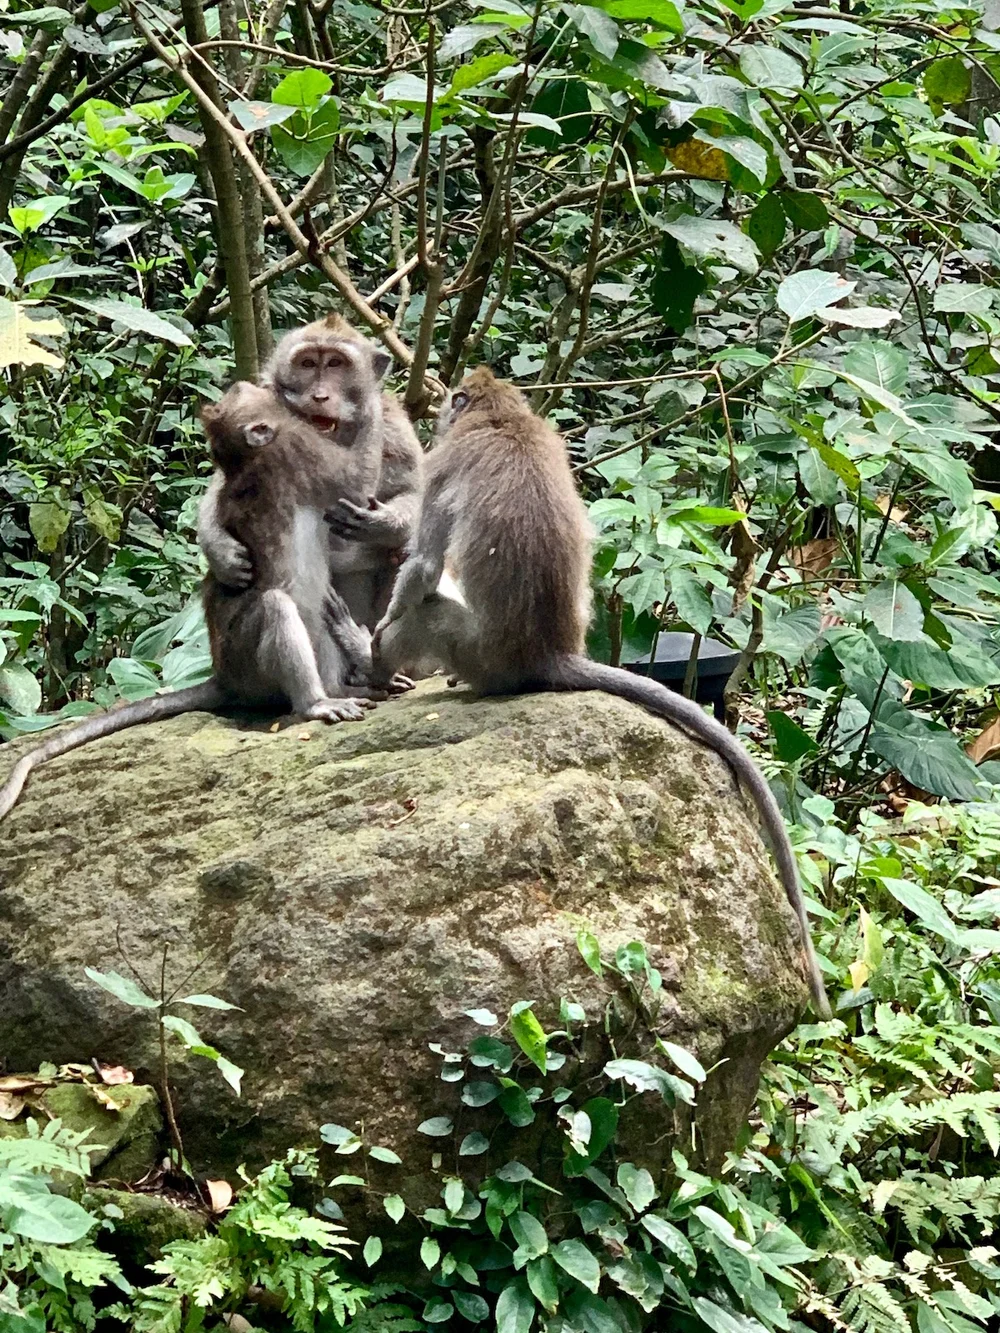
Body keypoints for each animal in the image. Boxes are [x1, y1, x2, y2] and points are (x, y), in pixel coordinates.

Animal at [0, 369, 389, 824]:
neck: (253, 457)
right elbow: (359, 480)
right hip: (247, 664)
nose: (254, 382)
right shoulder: (301, 454)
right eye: (248, 395)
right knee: (276, 607)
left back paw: (345, 687)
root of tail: (224, 679)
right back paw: (316, 701)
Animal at [197, 313, 425, 634]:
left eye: (335, 364)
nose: (320, 396)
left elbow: (417, 494)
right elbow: (221, 484)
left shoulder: (396, 429)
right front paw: (221, 551)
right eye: (307, 364)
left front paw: (381, 523)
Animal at [372, 367, 831, 1019]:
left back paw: (386, 666)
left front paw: (381, 627)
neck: (502, 418)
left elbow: (424, 566)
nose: (440, 412)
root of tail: (548, 655)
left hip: (475, 651)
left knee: (430, 609)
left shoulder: (442, 466)